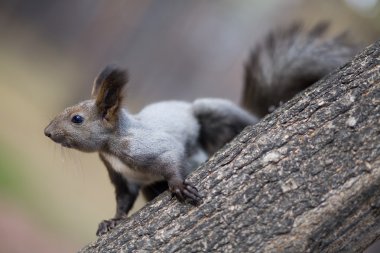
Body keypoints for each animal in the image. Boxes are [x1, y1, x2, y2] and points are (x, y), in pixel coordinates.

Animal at [43, 21, 356, 235]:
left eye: (77, 119)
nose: (47, 132)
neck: (111, 148)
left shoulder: (148, 145)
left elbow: (170, 158)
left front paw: (179, 186)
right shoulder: (123, 179)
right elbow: (123, 201)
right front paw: (113, 221)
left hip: (213, 112)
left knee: (239, 122)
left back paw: (269, 111)